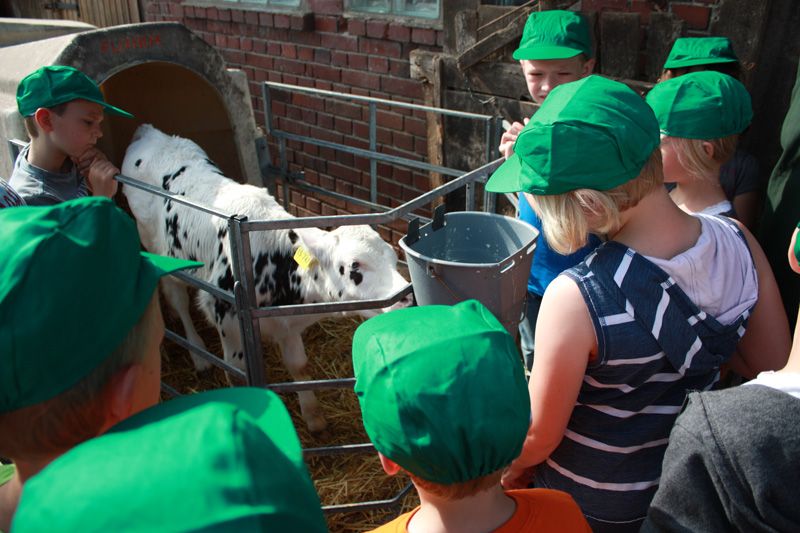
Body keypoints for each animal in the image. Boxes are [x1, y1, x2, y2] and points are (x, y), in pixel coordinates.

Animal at [122, 122, 410, 430]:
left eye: (394, 258)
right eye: (355, 265)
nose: (407, 298)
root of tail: (150, 133)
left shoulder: (288, 323)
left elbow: (299, 366)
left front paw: (313, 416)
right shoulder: (226, 318)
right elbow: (236, 373)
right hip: (154, 243)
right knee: (177, 298)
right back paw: (198, 355)